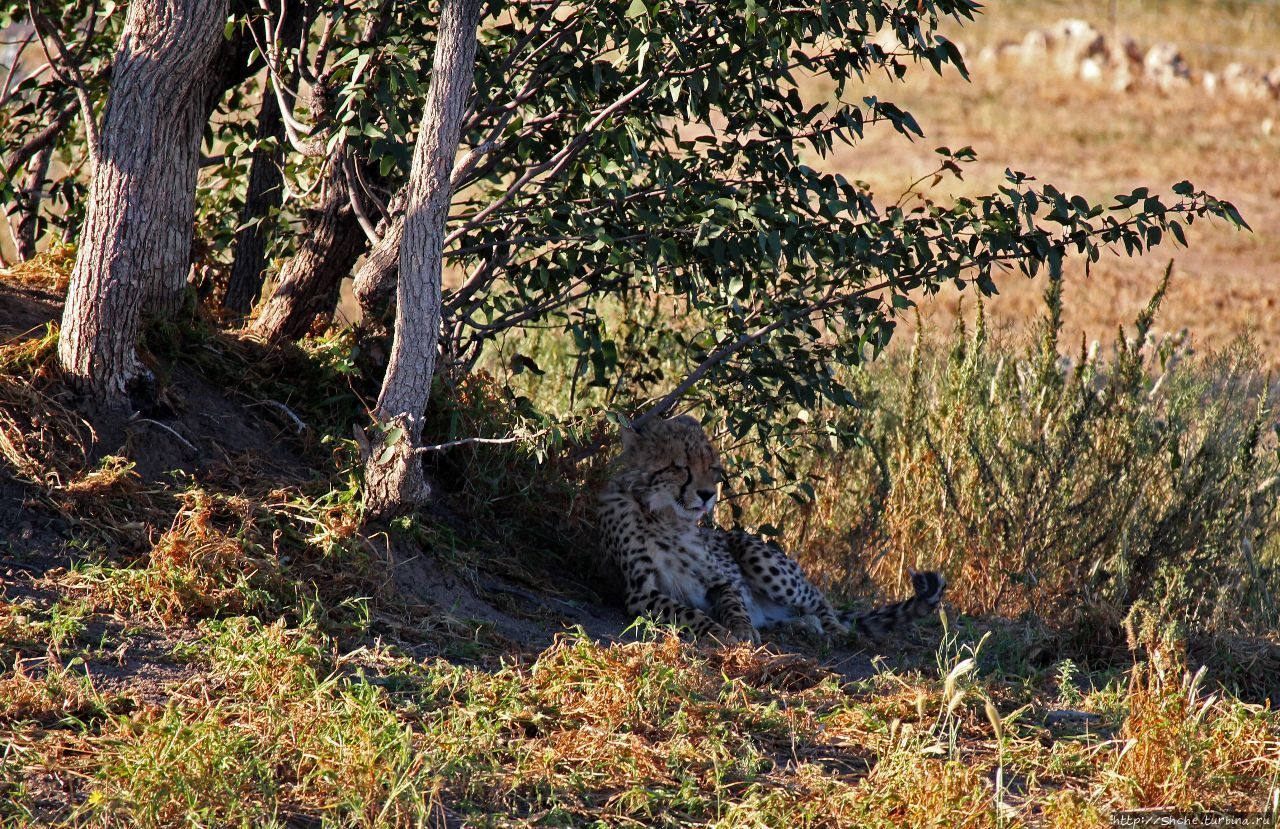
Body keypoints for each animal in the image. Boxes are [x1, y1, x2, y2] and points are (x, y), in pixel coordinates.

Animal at [593, 417, 947, 644]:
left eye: (713, 468)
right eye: (681, 466)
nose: (708, 495)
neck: (664, 515)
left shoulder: (720, 579)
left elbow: (733, 603)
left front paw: (739, 628)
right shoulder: (640, 592)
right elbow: (686, 611)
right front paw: (719, 631)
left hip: (754, 551)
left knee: (818, 597)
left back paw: (834, 629)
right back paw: (803, 626)